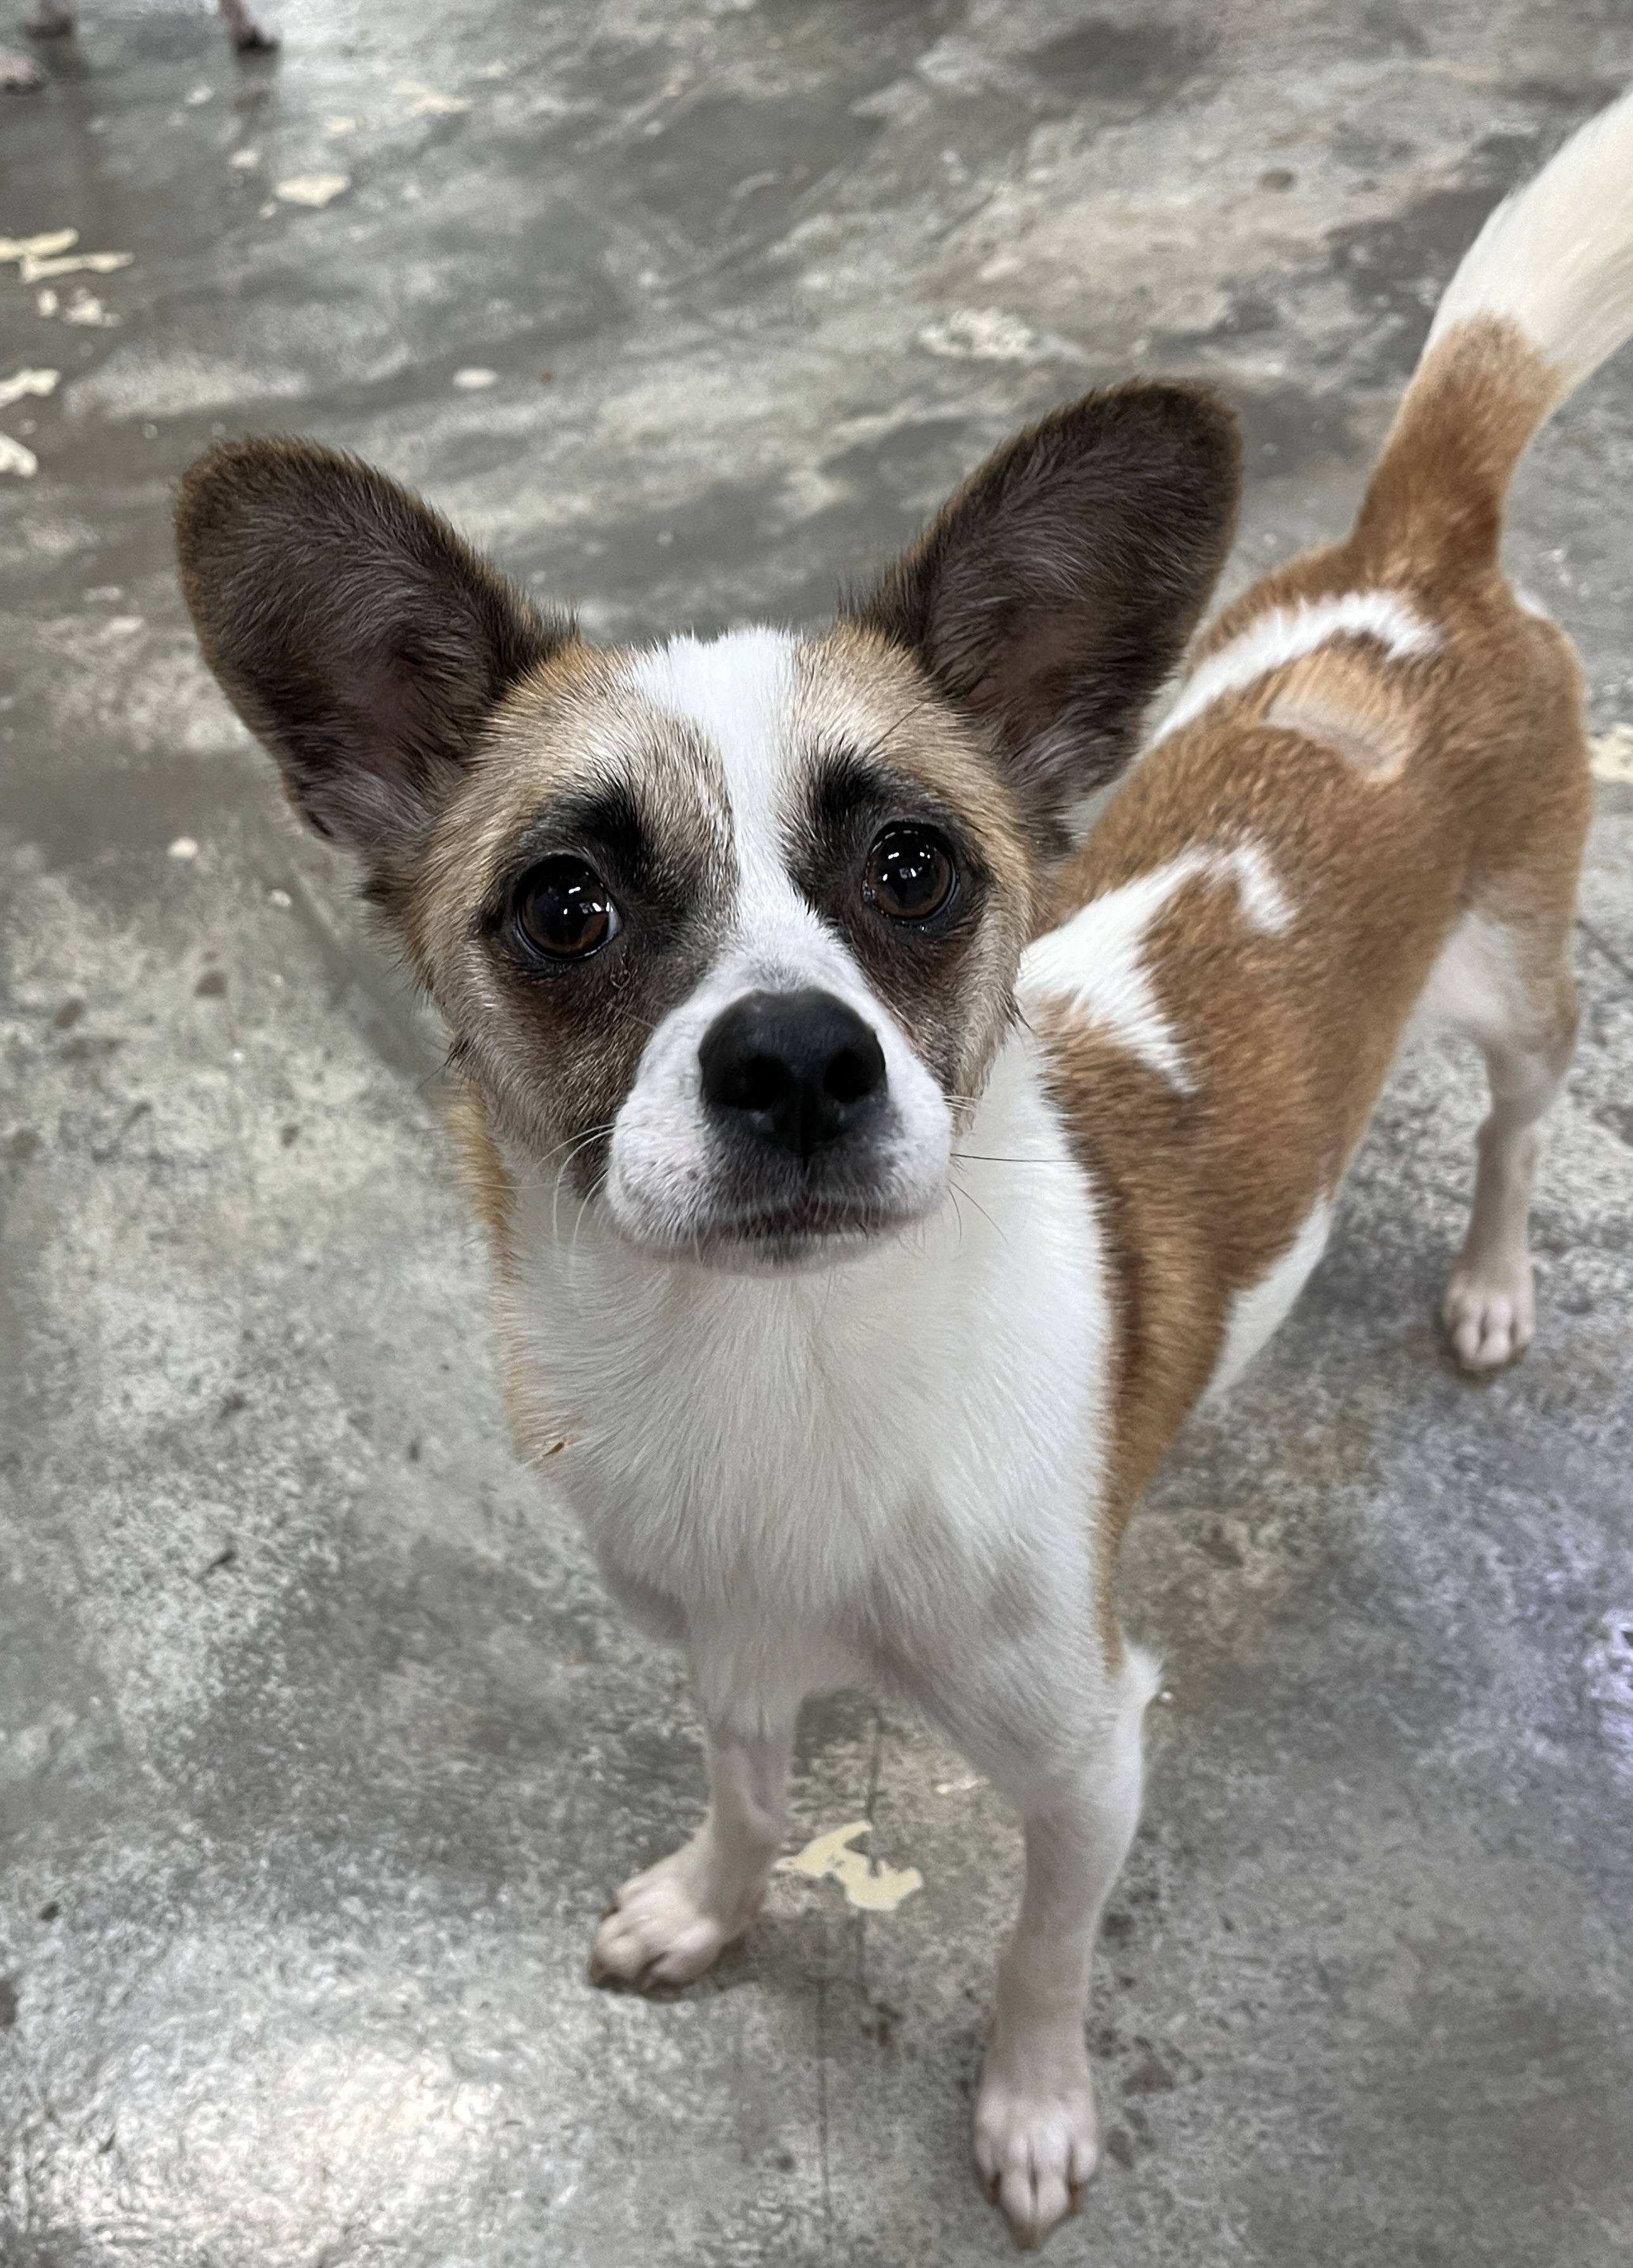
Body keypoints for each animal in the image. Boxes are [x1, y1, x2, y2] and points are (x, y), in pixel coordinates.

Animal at [172, 93, 1623, 2250]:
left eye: (917, 867)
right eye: (564, 906)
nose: (795, 1058)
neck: (787, 1367)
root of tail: (1415, 551)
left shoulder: (1089, 1756)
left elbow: (1040, 1944)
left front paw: (1030, 2107)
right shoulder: (726, 1655)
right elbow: (753, 1793)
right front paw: (711, 1905)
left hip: (1523, 991)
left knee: (1522, 1125)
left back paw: (1495, 1279)